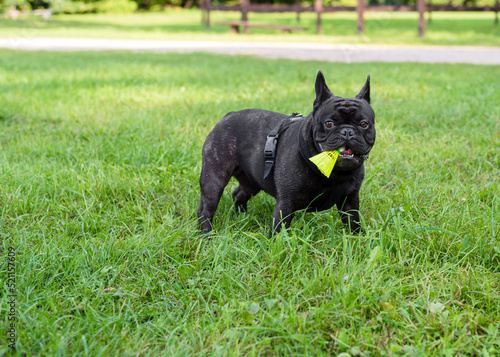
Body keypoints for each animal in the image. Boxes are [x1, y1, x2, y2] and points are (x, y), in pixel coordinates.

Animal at [198, 71, 376, 235]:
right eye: (329, 123)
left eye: (364, 124)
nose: (347, 131)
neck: (333, 172)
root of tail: (228, 116)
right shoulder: (286, 203)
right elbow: (278, 230)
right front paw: (275, 245)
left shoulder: (350, 201)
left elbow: (353, 223)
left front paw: (358, 240)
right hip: (214, 179)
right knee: (207, 209)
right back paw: (206, 235)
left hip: (253, 180)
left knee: (239, 194)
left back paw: (242, 216)